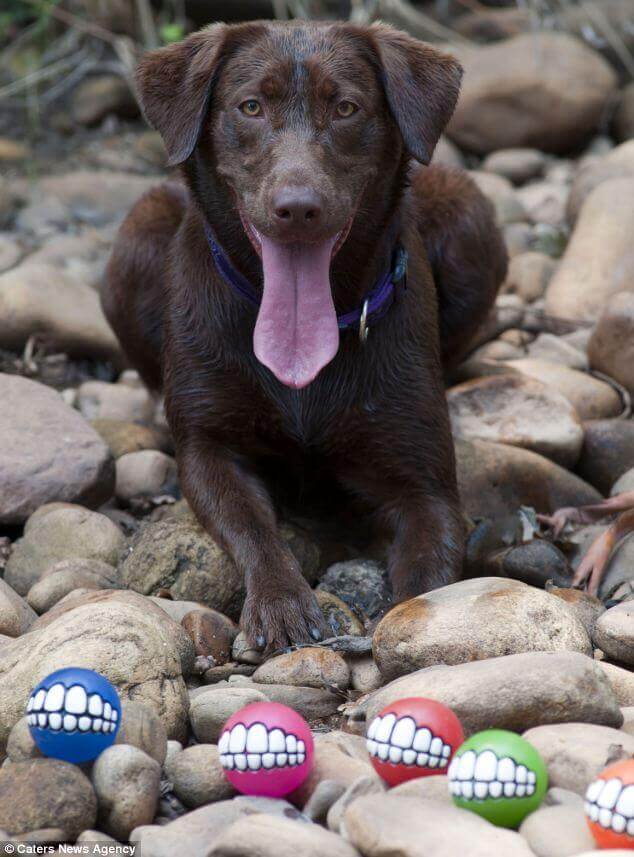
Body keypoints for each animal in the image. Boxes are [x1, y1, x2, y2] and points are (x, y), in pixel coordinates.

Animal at [105, 20, 508, 648]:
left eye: (345, 108)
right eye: (250, 106)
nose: (297, 208)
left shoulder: (427, 486)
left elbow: (428, 573)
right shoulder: (208, 448)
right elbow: (252, 527)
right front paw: (281, 604)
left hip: (468, 216)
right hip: (137, 237)